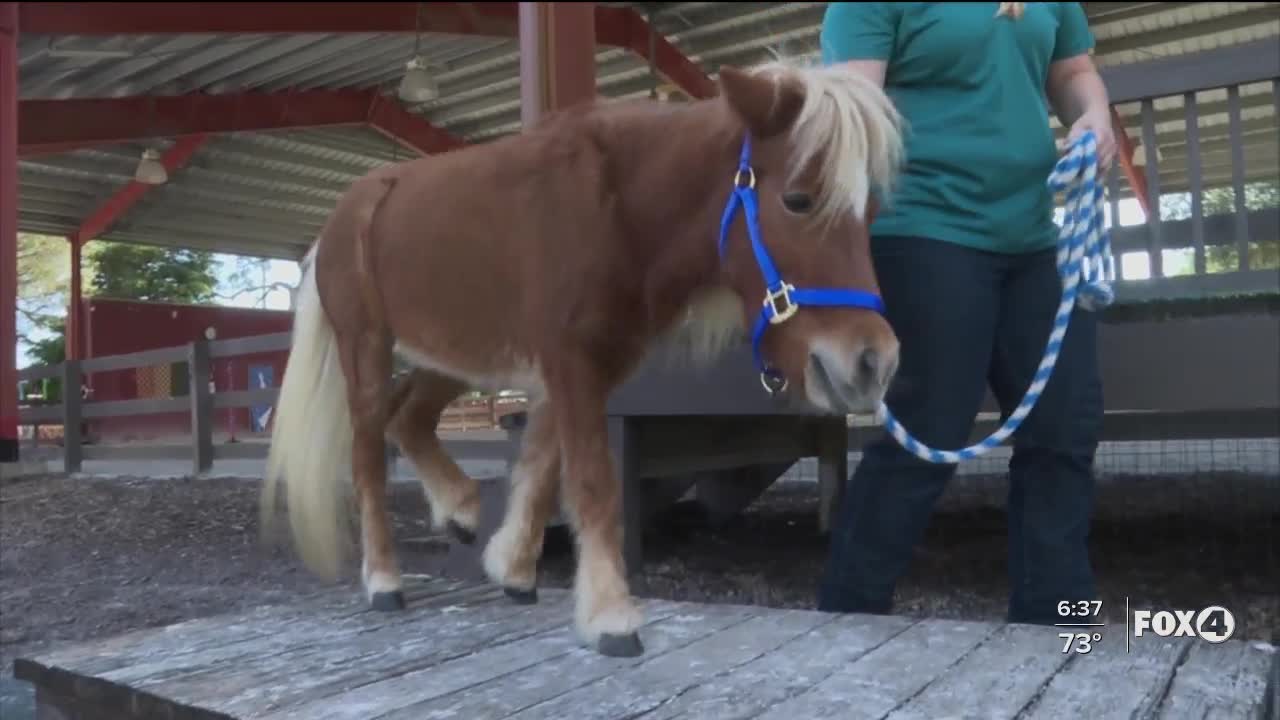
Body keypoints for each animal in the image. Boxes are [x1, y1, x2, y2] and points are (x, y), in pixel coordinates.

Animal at [259, 60, 906, 655]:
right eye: (798, 200)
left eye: (869, 211)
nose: (872, 363)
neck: (614, 208)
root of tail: (339, 220)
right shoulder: (571, 362)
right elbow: (593, 481)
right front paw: (610, 615)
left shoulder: (584, 366)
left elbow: (544, 468)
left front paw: (514, 570)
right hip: (367, 348)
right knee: (369, 452)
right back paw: (384, 581)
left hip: (451, 354)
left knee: (409, 420)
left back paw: (460, 509)